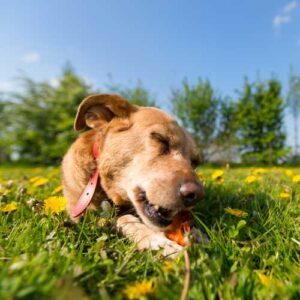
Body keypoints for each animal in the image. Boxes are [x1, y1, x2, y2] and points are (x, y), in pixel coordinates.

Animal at [62, 95, 204, 256]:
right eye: (160, 139)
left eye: (195, 162)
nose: (196, 196)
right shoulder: (87, 216)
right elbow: (124, 219)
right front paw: (156, 241)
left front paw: (195, 233)